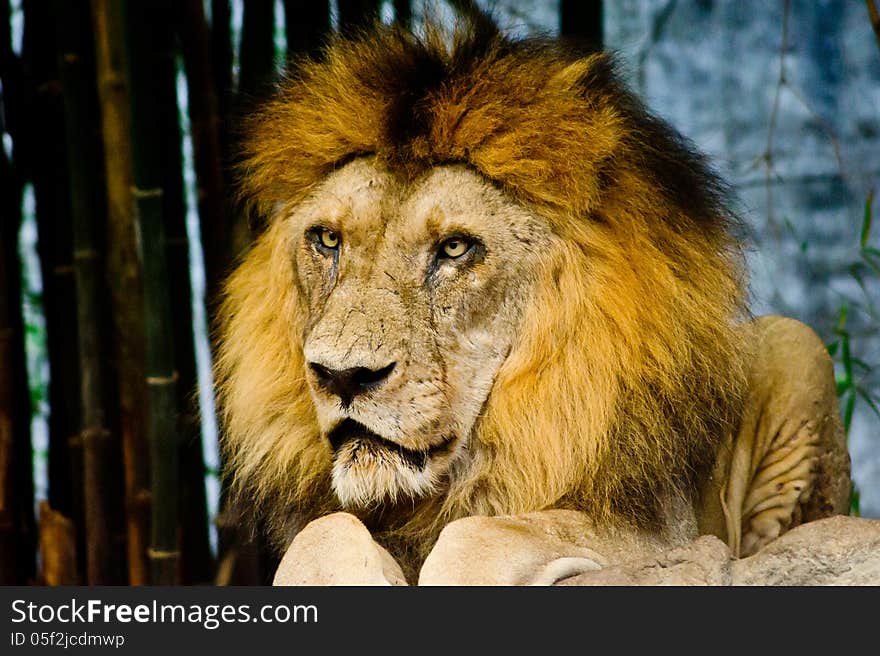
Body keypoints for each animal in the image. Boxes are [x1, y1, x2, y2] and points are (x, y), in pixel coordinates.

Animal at [215, 12, 852, 584]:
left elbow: (477, 537)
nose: (342, 377)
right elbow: (323, 533)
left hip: (797, 345)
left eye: (454, 248)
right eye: (327, 240)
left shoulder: (662, 533)